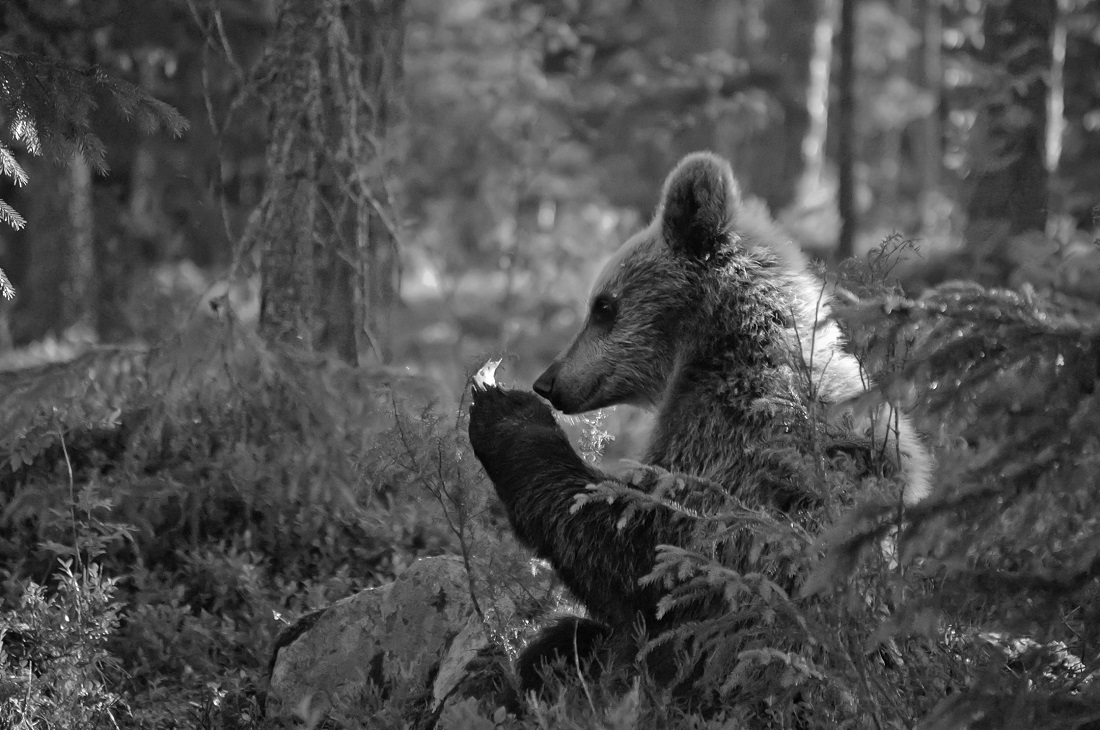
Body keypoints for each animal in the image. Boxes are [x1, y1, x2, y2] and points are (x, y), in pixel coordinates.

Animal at [467, 151, 931, 701]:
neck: (717, 345)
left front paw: (505, 413)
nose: (548, 382)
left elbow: (642, 554)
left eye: (604, 305)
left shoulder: (730, 442)